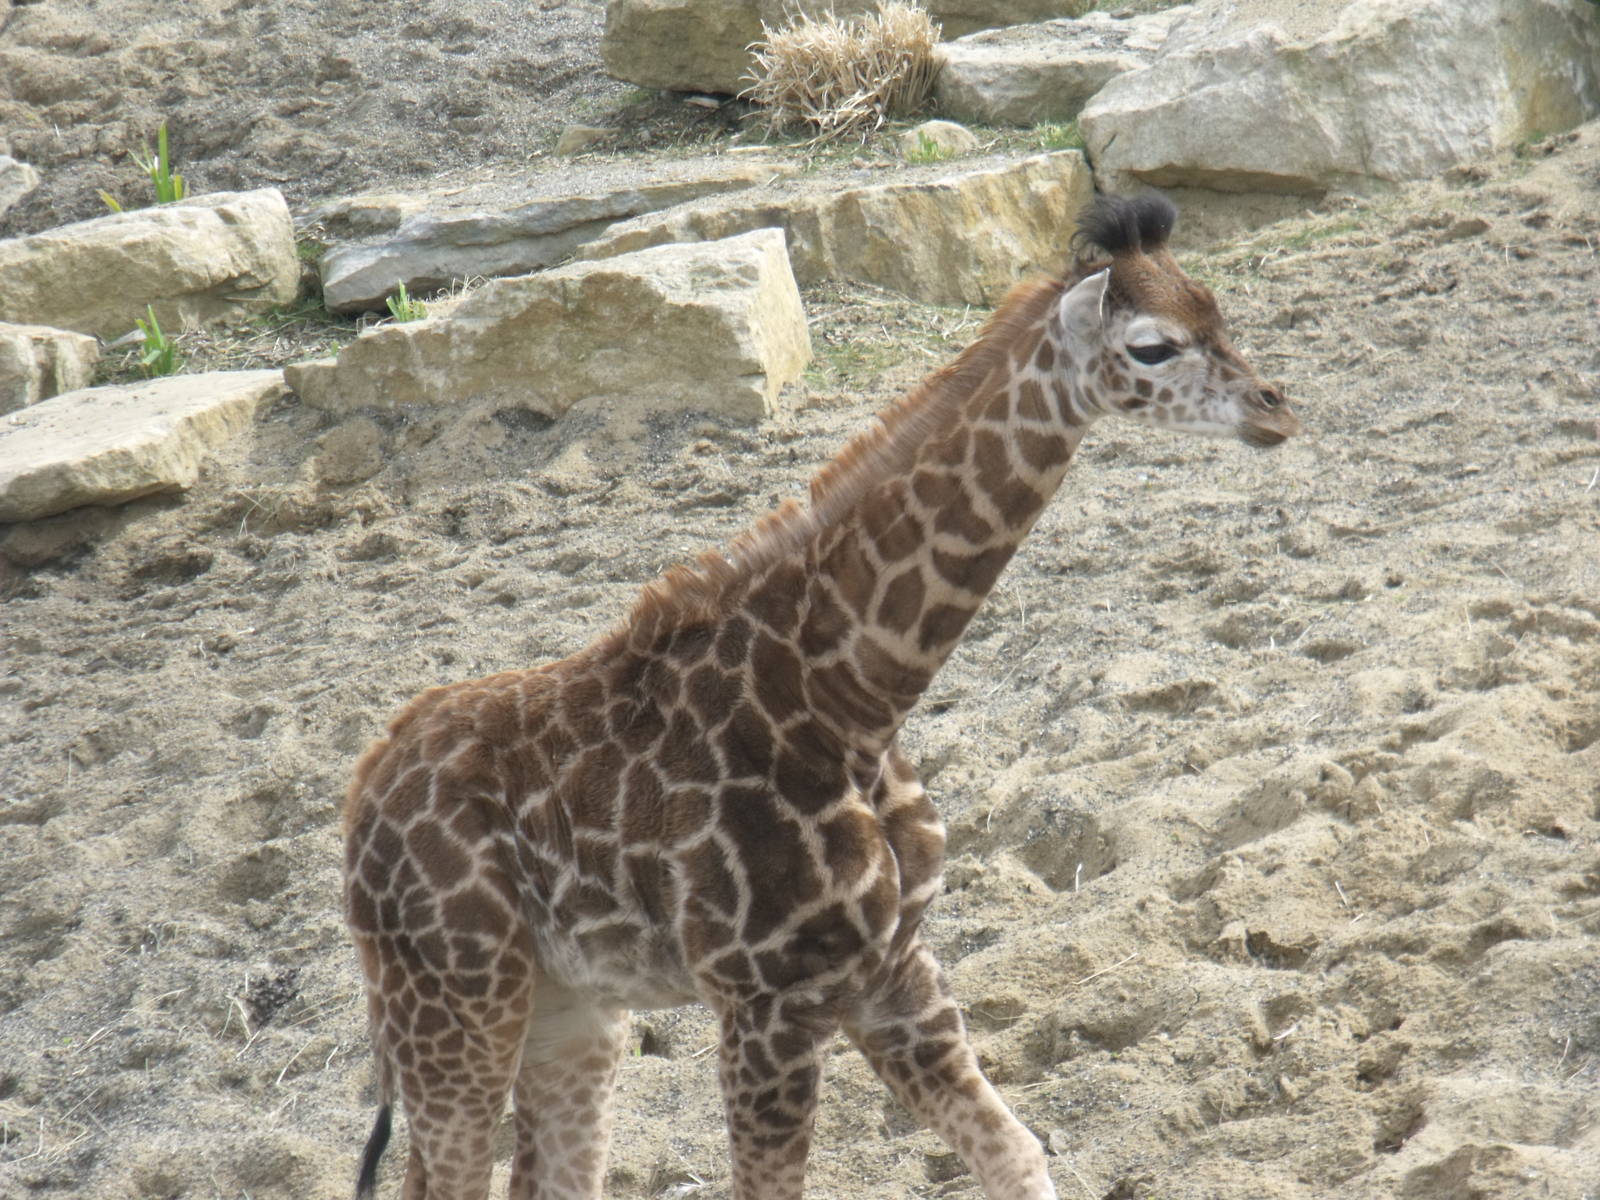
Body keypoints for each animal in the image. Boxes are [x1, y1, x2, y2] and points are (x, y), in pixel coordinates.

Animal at [342, 191, 1301, 1200]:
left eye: (1217, 310)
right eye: (1154, 346)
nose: (1276, 410)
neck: (851, 705)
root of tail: (361, 797)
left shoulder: (895, 968)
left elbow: (1019, 1154)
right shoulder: (767, 999)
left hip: (569, 1006)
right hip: (459, 997)